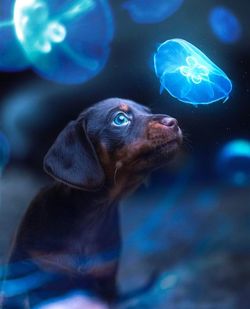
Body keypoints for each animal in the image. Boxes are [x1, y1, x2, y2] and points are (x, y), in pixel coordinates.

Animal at [1, 98, 182, 306]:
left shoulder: (105, 283)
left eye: (147, 111)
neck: (91, 215)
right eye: (120, 119)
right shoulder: (20, 278)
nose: (173, 122)